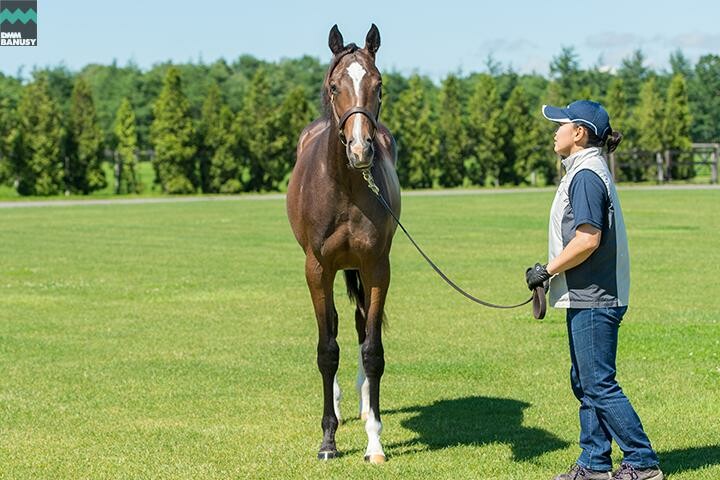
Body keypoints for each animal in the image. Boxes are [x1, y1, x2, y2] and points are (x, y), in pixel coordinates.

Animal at [286, 24, 400, 464]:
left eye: (378, 84)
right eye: (335, 86)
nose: (360, 149)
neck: (347, 185)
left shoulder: (376, 267)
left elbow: (372, 349)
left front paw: (375, 441)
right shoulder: (317, 268)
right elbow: (326, 349)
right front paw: (328, 440)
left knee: (358, 325)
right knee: (334, 327)